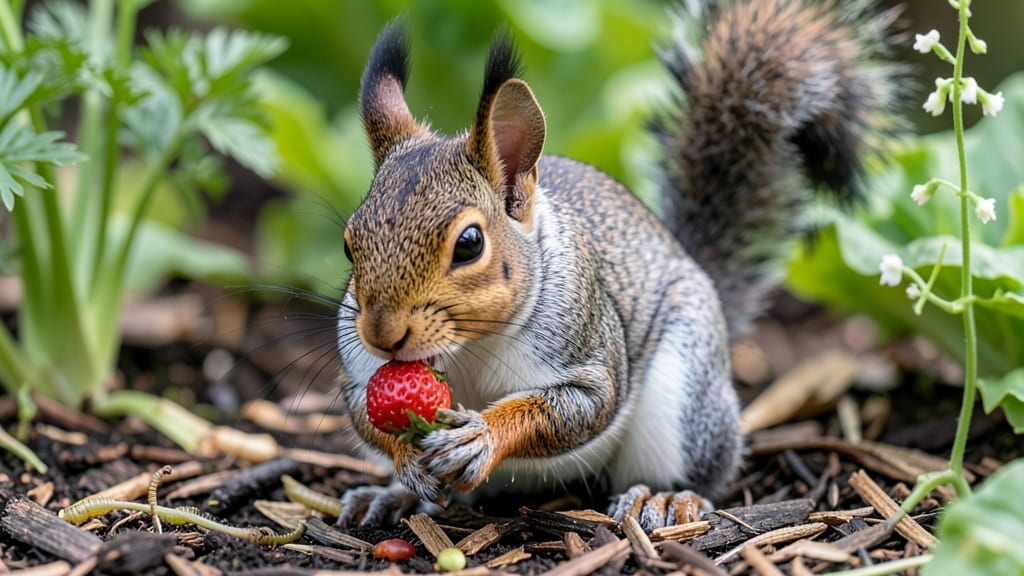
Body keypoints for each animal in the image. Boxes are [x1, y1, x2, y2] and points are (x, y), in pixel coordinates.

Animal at [335, 0, 900, 528]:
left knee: (703, 470)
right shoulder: (362, 373)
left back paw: (665, 498)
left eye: (470, 243)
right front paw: (407, 463)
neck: (470, 347)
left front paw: (482, 437)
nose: (383, 335)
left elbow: (582, 407)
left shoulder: (586, 344)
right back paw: (391, 497)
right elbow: (365, 413)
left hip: (684, 390)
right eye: (348, 243)